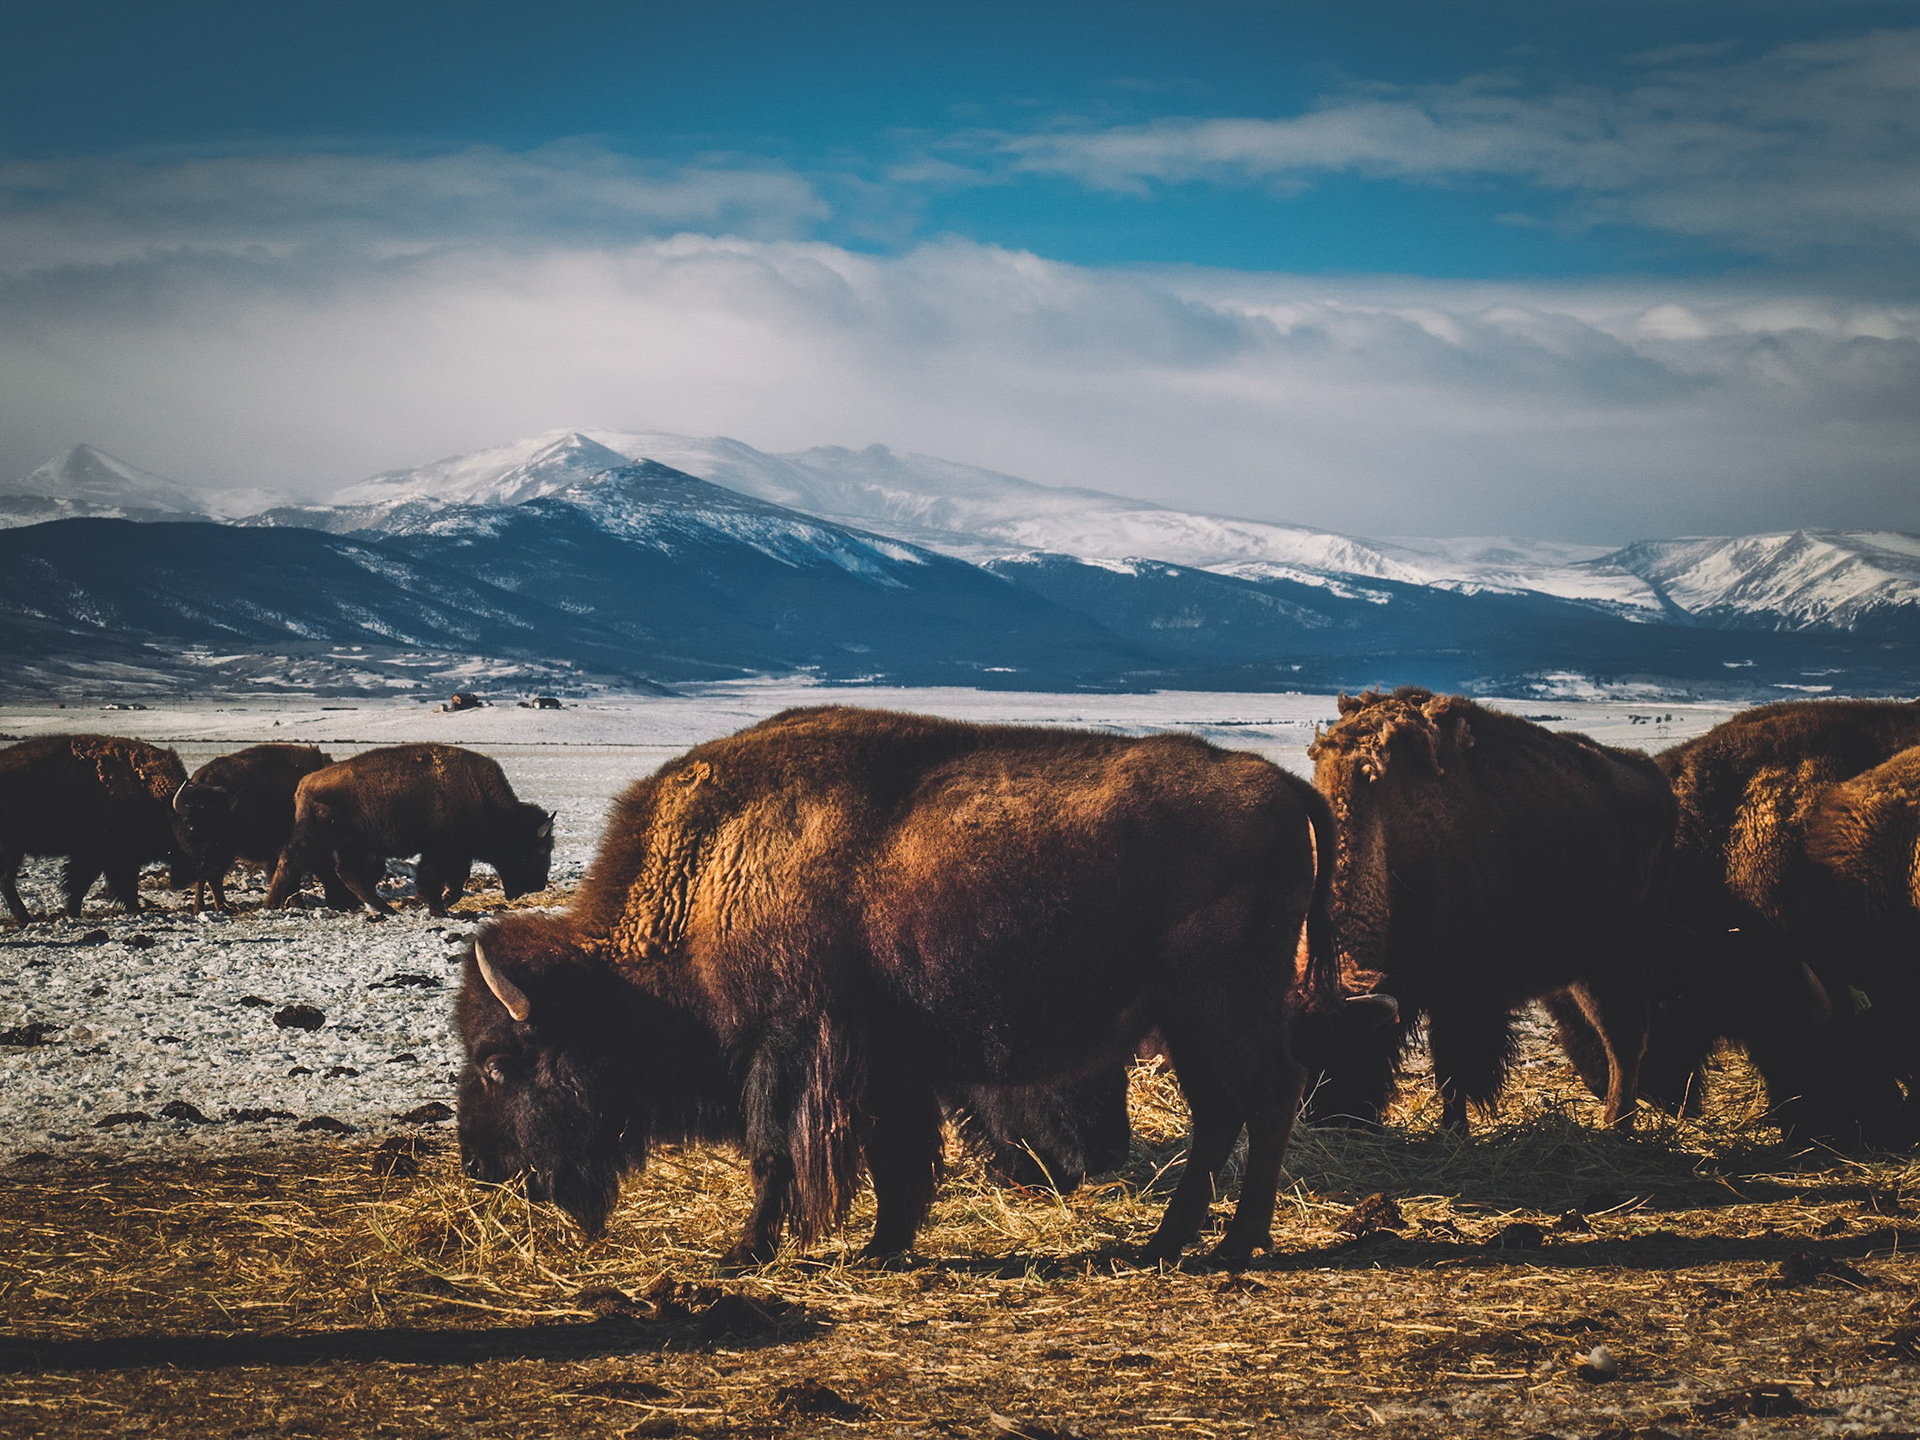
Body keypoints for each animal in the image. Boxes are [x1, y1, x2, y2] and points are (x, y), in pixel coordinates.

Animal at [0, 734, 188, 926]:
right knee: (6, 880)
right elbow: (87, 883)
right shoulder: (102, 855)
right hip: (11, 850)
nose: (185, 879)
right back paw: (25, 917)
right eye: (189, 828)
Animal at [171, 743, 335, 913]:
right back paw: (208, 907)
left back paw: (218, 906)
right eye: (191, 824)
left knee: (212, 877)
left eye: (216, 824)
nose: (204, 849)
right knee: (210, 878)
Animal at [265, 743, 553, 915]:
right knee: (292, 859)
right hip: (321, 838)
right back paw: (272, 903)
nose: (539, 885)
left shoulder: (455, 853)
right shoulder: (443, 851)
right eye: (538, 850)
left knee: (346, 872)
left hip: (352, 844)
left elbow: (455, 880)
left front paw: (440, 903)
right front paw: (438, 907)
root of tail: (304, 782)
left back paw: (384, 908)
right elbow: (438, 878)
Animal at [455, 705, 1348, 1266]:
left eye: (499, 1061)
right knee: (1223, 1114)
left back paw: (1235, 1245)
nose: (482, 1166)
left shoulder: (791, 1053)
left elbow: (777, 1157)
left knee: (1266, 1099)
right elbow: (899, 1158)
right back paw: (1167, 1244)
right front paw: (883, 1248)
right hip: (1192, 1020)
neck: (710, 878)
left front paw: (744, 1251)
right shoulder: (887, 1062)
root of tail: (1280, 785)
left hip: (1221, 1008)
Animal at [1298, 688, 1675, 1131]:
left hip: (1614, 962)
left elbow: (1454, 1072)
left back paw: (1615, 1124)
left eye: (1353, 1046)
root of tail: (1652, 778)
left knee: (1624, 1040)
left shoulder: (1461, 993)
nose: (1324, 1119)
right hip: (1585, 970)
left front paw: (1453, 1130)